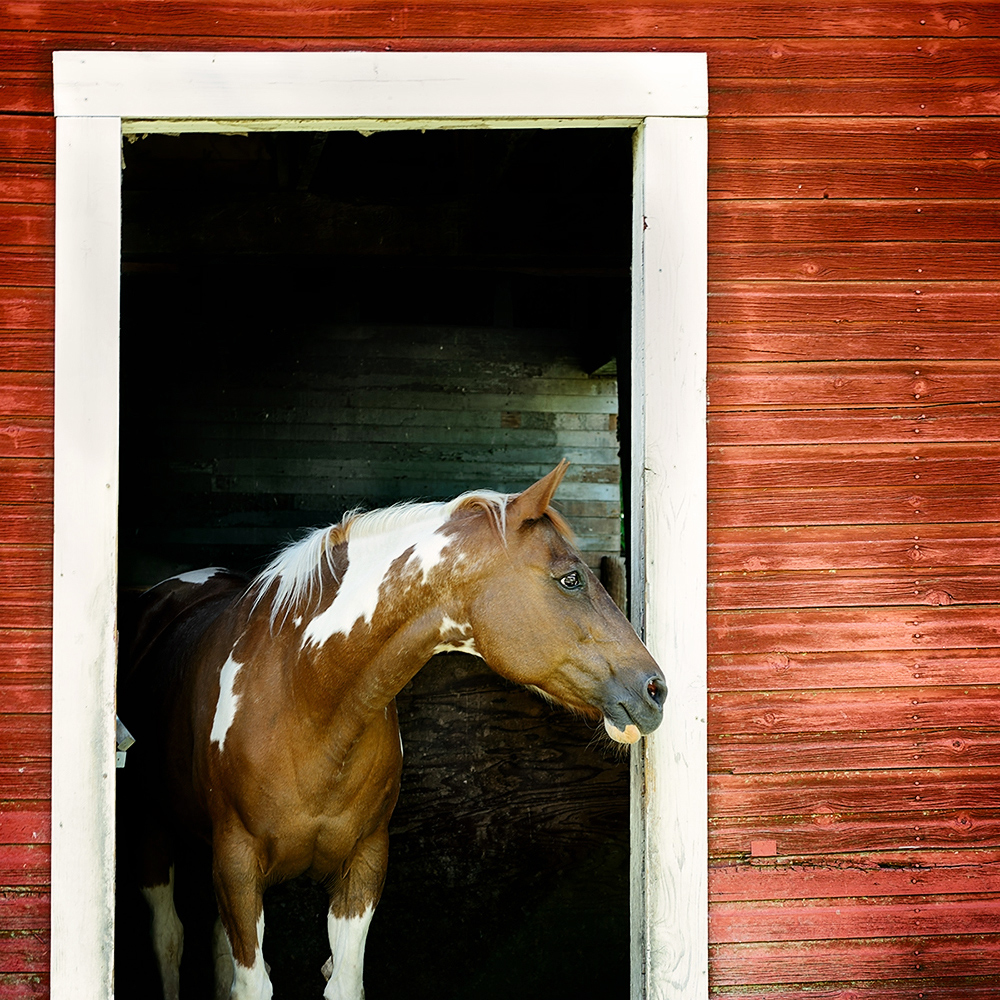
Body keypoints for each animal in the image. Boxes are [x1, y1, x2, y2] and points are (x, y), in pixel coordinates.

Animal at [117, 462, 664, 1000]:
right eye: (570, 579)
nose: (655, 689)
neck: (305, 697)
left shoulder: (364, 864)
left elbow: (343, 981)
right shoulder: (237, 869)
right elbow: (251, 983)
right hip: (152, 835)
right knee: (169, 939)